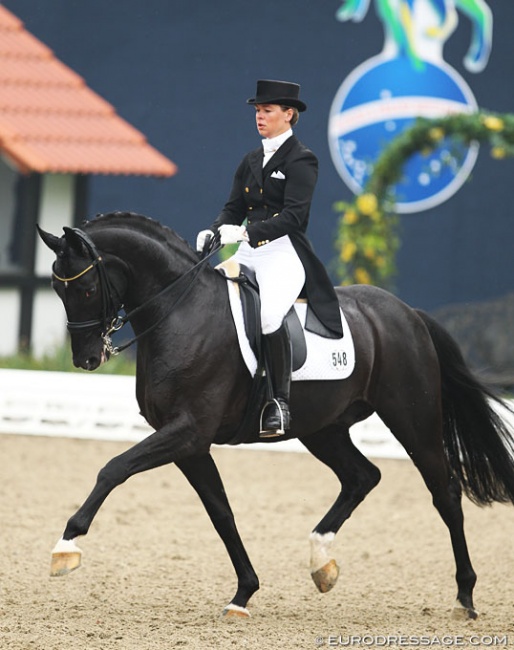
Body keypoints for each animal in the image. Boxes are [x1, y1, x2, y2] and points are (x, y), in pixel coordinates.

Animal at [38, 211, 512, 616]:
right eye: (57, 290)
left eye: (84, 289)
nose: (86, 359)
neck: (182, 313)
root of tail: (408, 313)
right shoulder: (188, 443)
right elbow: (221, 512)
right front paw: (243, 594)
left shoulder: (188, 431)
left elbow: (113, 468)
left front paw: (66, 546)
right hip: (322, 429)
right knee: (362, 477)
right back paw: (321, 563)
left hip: (413, 418)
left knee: (445, 493)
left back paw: (465, 597)